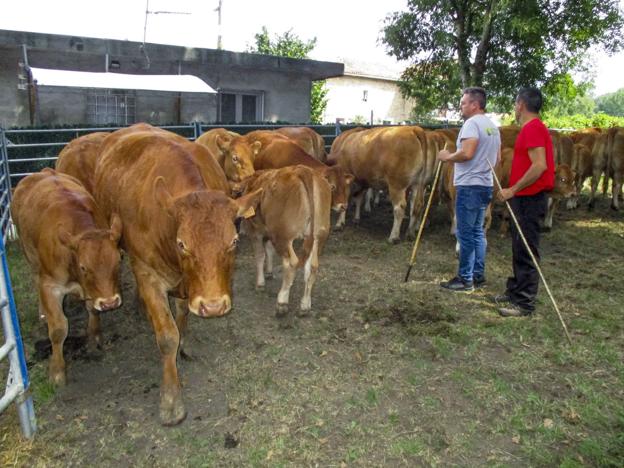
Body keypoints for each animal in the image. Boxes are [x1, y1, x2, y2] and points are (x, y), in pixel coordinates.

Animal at [11, 168, 123, 384]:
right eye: (83, 267)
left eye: (119, 261)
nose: (110, 303)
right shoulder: (50, 285)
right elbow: (58, 329)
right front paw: (57, 371)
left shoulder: (93, 292)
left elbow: (93, 310)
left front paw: (94, 337)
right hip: (30, 257)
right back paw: (42, 313)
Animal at [93, 128, 260, 424]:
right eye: (182, 244)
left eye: (234, 241)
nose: (213, 307)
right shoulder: (148, 273)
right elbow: (168, 336)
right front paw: (171, 400)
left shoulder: (189, 287)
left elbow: (182, 315)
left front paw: (186, 344)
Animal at [239, 166, 332, 316]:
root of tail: (303, 170)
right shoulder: (269, 232)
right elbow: (269, 250)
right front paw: (269, 272)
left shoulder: (255, 231)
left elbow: (260, 255)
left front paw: (260, 283)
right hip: (318, 236)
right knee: (312, 266)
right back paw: (305, 305)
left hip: (283, 236)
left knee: (291, 263)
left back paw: (282, 302)